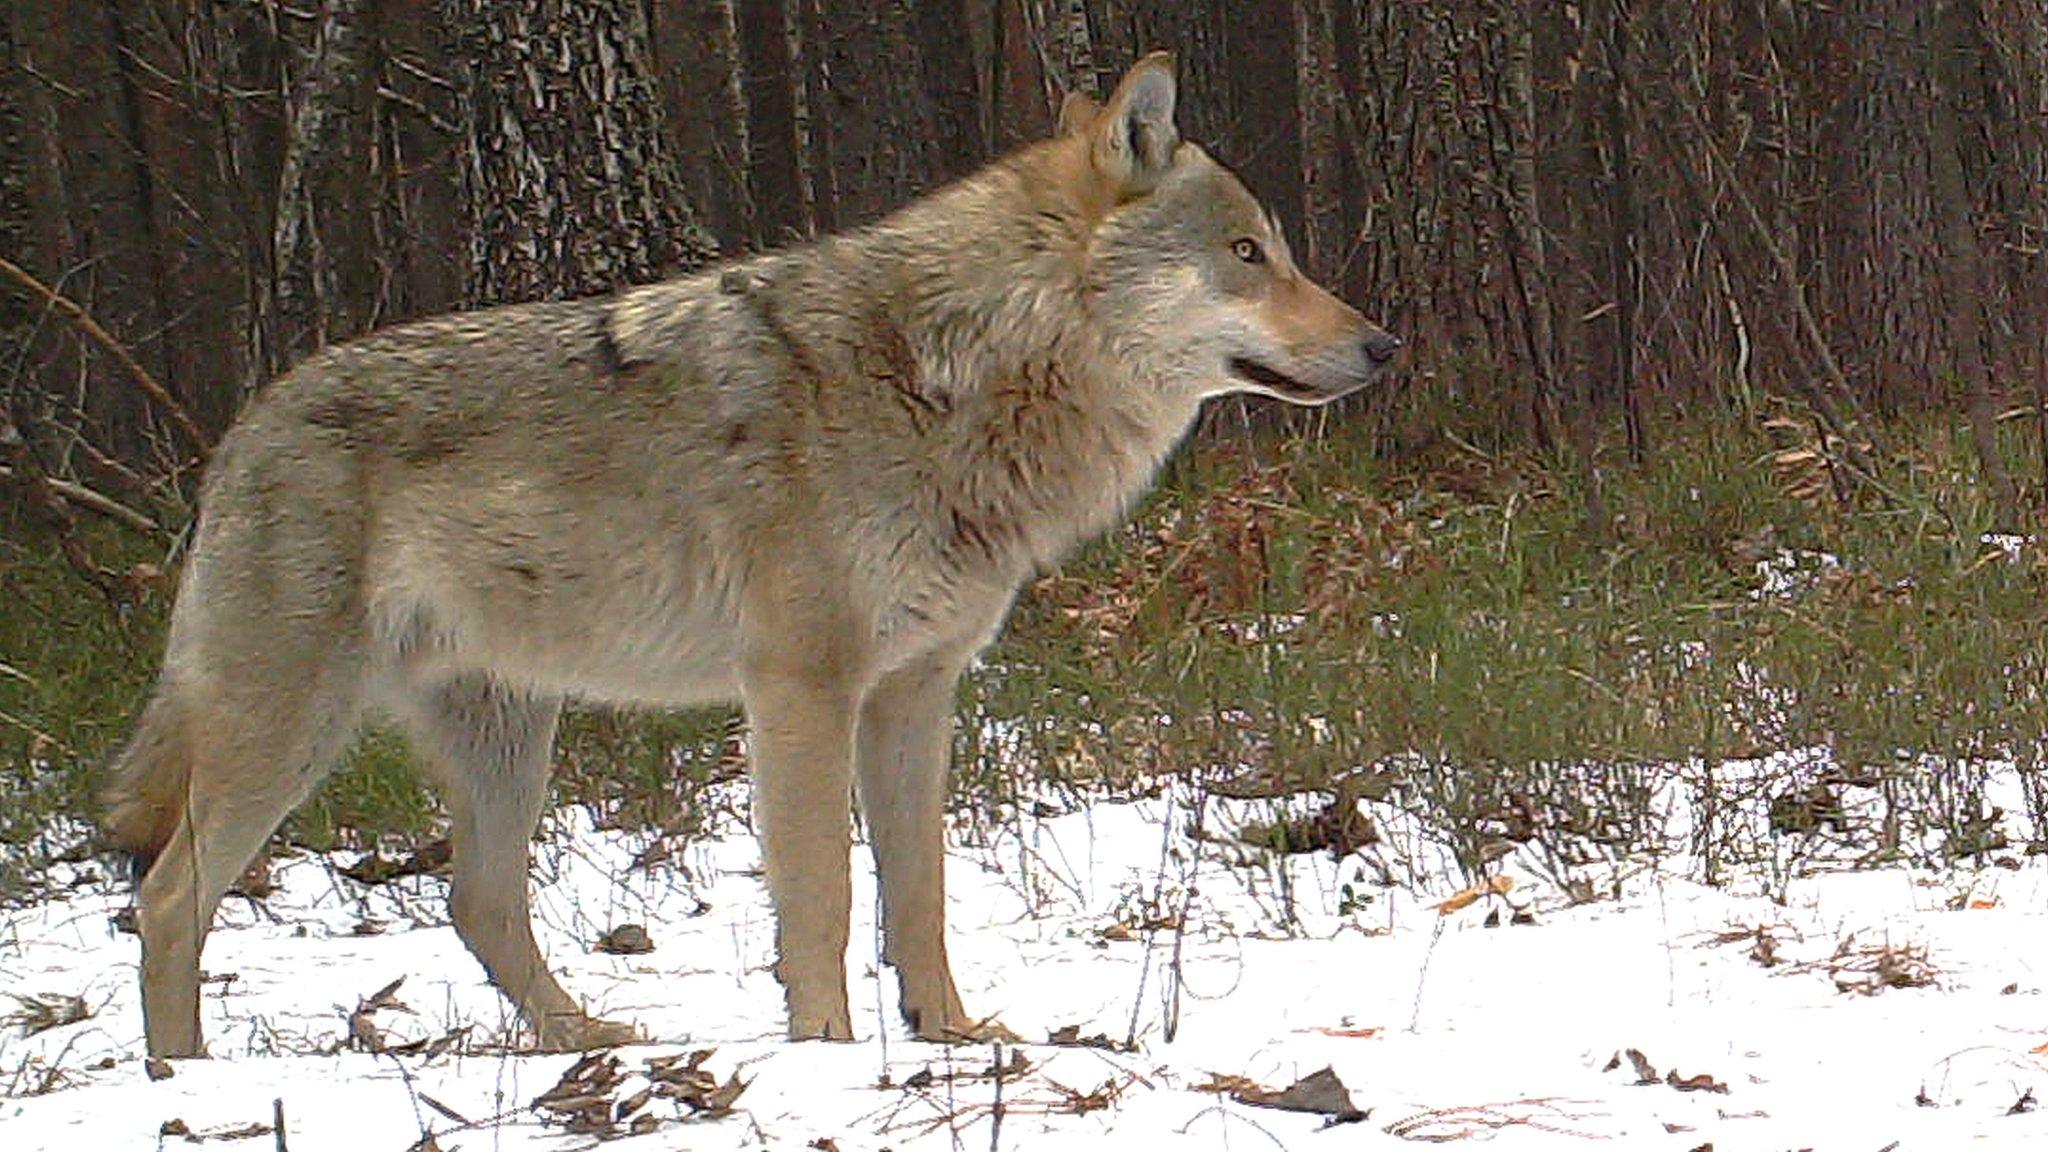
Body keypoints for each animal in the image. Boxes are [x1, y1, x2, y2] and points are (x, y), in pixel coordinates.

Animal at [103, 56, 1400, 1057]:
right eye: (1246, 252)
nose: (1383, 346)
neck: (946, 377)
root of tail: (240, 432)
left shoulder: (916, 696)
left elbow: (918, 895)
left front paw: (951, 1037)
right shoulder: (799, 690)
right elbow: (820, 894)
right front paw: (824, 1052)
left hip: (506, 736)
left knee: (475, 903)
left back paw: (586, 1041)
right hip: (294, 731)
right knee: (167, 900)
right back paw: (185, 1082)